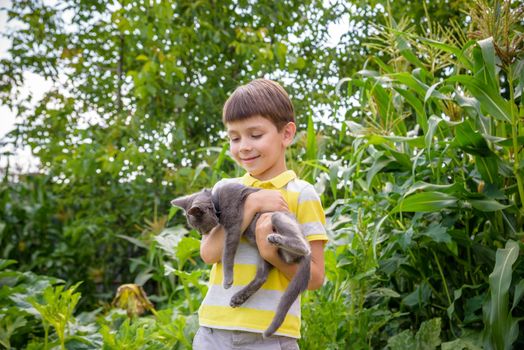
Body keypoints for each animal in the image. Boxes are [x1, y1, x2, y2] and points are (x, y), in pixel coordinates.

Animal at [171, 182, 312, 338]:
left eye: (199, 226)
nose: (202, 234)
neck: (216, 200)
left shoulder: (234, 224)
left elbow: (227, 252)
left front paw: (227, 280)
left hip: (278, 218)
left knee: (304, 247)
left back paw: (281, 240)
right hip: (264, 251)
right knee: (262, 276)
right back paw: (238, 297)